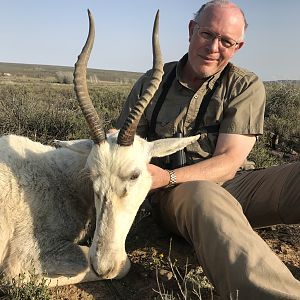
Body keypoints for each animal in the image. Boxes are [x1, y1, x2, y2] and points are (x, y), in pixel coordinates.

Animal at [0, 9, 199, 286]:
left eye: (135, 175)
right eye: (92, 176)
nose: (104, 265)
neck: (55, 173)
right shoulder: (25, 258)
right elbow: (115, 265)